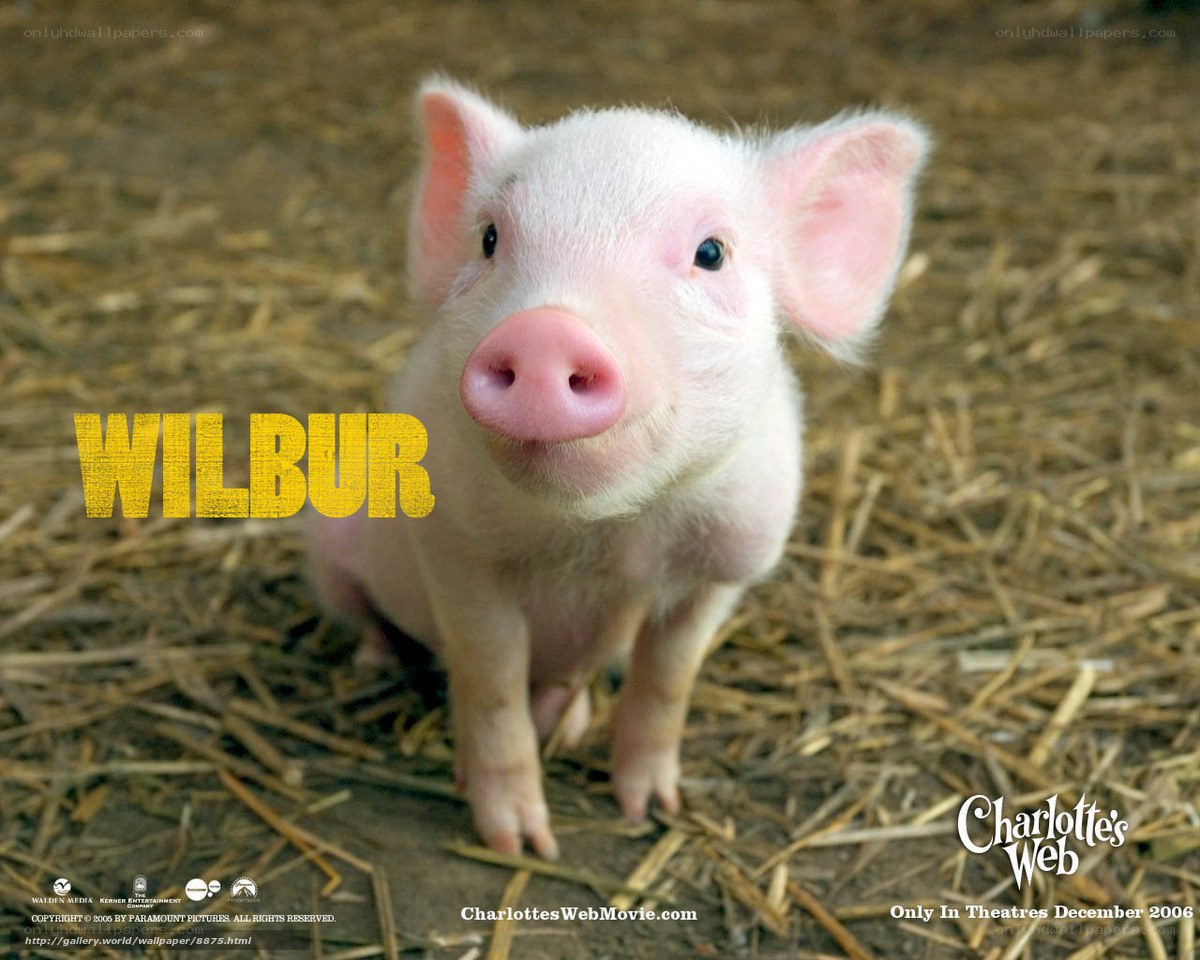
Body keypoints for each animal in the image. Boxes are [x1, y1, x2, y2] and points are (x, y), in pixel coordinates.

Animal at [312, 77, 927, 859]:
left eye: (711, 252)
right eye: (489, 239)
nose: (545, 329)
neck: (614, 538)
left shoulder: (729, 564)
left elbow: (668, 679)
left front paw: (651, 809)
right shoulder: (457, 551)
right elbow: (489, 678)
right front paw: (520, 844)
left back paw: (570, 725)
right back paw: (375, 663)